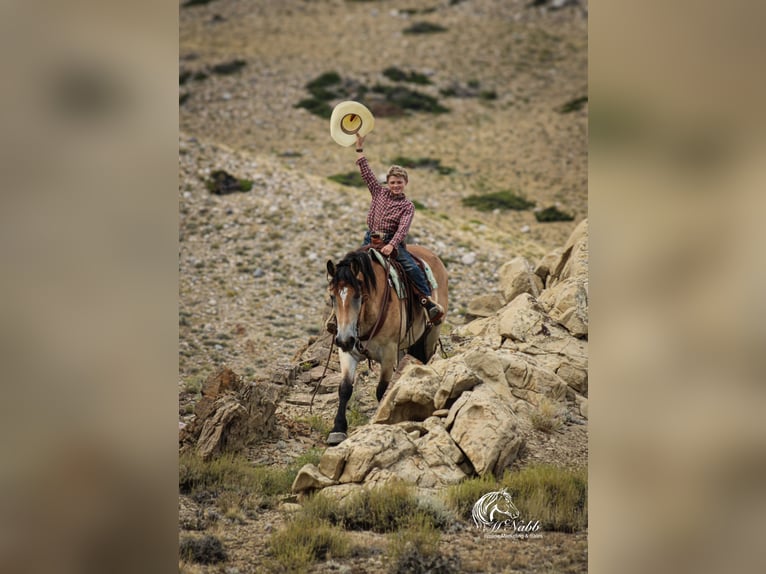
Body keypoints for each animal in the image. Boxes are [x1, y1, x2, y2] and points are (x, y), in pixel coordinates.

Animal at [324, 245, 448, 446]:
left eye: (359, 295)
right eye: (332, 296)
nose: (344, 339)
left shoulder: (388, 352)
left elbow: (381, 390)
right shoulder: (347, 351)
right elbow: (344, 388)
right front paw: (337, 430)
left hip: (431, 335)